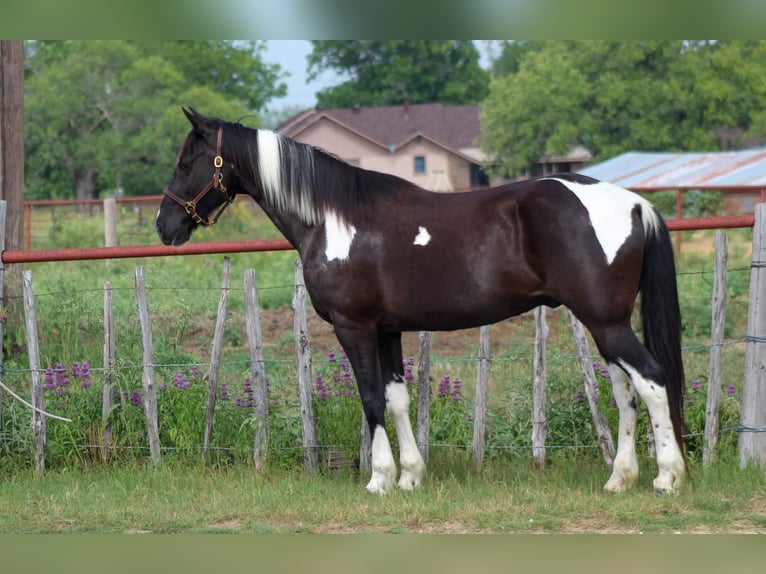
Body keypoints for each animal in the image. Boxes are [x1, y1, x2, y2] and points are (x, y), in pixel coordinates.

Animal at [156, 110, 688, 498]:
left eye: (185, 163)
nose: (165, 226)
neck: (334, 219)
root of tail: (635, 203)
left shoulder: (354, 327)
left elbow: (371, 399)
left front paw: (379, 480)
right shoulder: (387, 330)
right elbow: (397, 399)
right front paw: (411, 475)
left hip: (606, 322)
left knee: (651, 380)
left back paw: (667, 477)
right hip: (604, 324)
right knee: (625, 391)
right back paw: (620, 478)